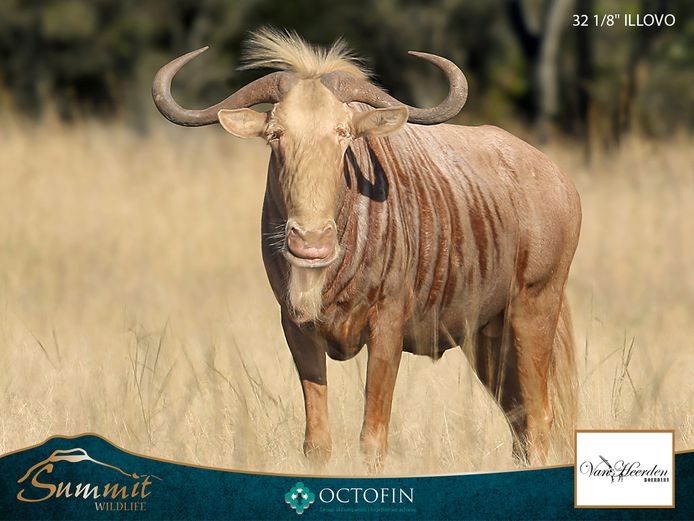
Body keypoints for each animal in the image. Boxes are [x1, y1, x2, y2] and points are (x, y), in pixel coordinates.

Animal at [152, 29, 581, 470]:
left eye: (343, 133)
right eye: (276, 134)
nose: (311, 244)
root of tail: (558, 179)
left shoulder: (387, 328)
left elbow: (373, 438)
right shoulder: (296, 328)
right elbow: (317, 442)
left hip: (533, 310)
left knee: (538, 414)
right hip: (485, 334)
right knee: (518, 417)